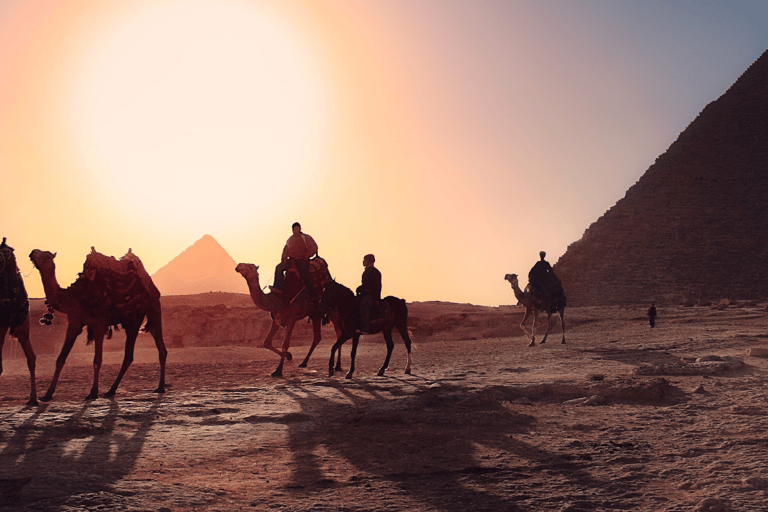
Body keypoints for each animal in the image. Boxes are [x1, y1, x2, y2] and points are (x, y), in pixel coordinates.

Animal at [29, 248, 166, 400]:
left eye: (46, 255)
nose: (32, 252)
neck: (75, 296)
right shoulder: (74, 323)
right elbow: (60, 359)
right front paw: (47, 394)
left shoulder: (99, 324)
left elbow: (97, 360)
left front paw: (93, 392)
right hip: (133, 319)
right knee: (129, 356)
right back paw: (111, 390)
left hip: (151, 309)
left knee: (158, 346)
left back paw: (160, 387)